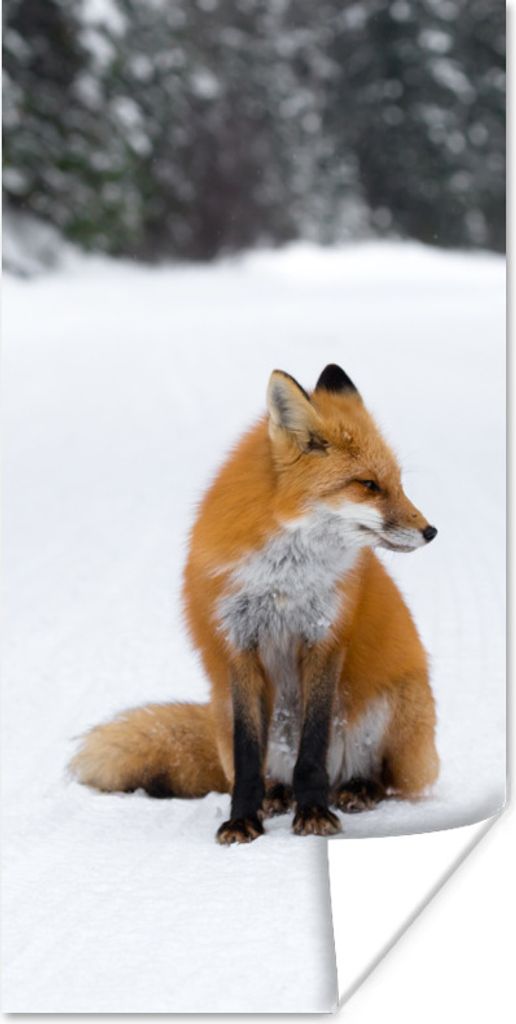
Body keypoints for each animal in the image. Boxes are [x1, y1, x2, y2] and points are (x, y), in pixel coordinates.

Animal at [71, 363, 439, 844]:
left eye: (397, 483)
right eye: (369, 485)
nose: (431, 531)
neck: (283, 579)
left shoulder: (324, 639)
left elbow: (312, 750)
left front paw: (313, 813)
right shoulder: (239, 643)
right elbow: (248, 760)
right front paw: (243, 819)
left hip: (392, 707)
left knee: (383, 778)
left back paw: (356, 789)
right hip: (226, 709)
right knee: (265, 771)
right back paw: (276, 795)